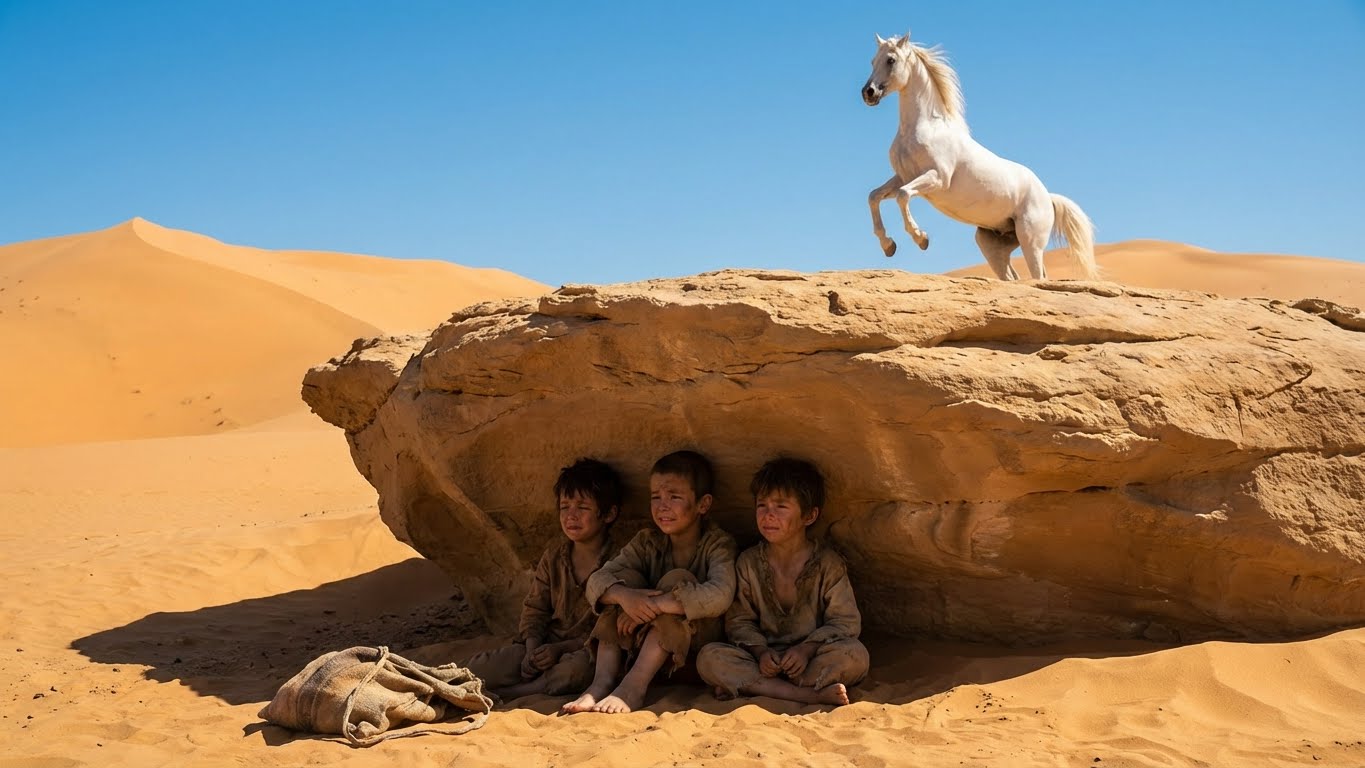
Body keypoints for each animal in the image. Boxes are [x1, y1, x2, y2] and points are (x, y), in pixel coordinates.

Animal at [861, 33, 1097, 281]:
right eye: (872, 61)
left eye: (891, 60)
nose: (868, 93)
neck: (927, 127)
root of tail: (1048, 198)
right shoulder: (903, 176)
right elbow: (874, 196)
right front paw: (888, 246)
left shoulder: (937, 178)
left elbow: (903, 196)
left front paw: (921, 238)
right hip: (991, 243)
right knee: (1013, 278)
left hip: (1030, 241)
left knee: (1037, 276)